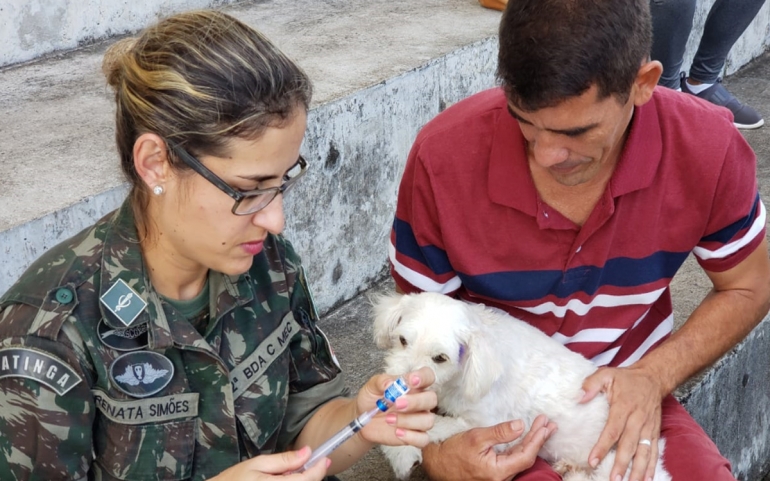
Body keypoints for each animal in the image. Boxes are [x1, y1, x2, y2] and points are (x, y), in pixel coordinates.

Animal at [370, 290, 664, 478]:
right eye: (402, 341)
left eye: (440, 358)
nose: (397, 387)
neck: (465, 374)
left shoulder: (483, 423)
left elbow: (432, 426)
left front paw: (400, 452)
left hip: (616, 465)